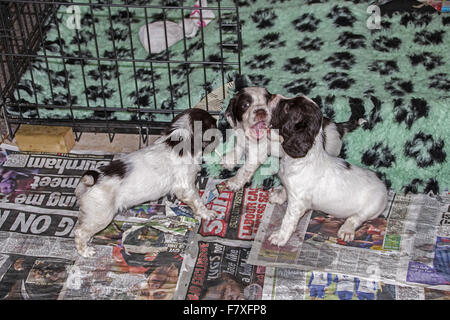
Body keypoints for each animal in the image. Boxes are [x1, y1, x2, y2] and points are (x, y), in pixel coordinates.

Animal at [268, 94, 386, 246]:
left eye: (287, 108)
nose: (272, 95)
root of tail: (382, 183)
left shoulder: (297, 203)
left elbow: (287, 220)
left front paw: (280, 237)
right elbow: (285, 190)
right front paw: (278, 196)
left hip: (372, 207)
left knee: (356, 218)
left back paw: (347, 230)